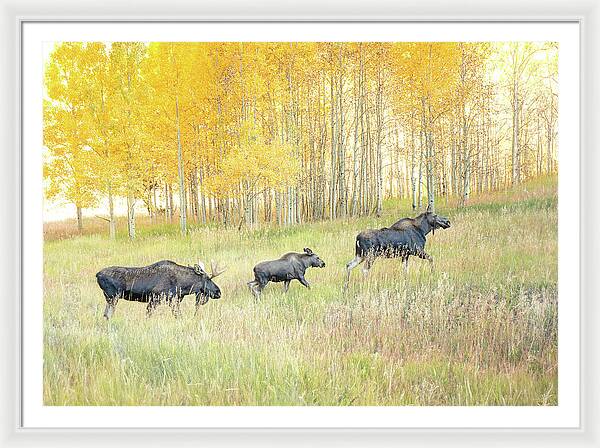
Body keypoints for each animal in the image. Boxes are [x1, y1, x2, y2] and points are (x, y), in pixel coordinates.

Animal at [96, 260, 227, 318]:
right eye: (208, 278)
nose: (218, 292)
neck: (182, 284)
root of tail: (97, 275)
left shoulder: (173, 300)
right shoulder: (156, 298)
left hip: (110, 298)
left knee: (105, 315)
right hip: (113, 297)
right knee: (108, 314)